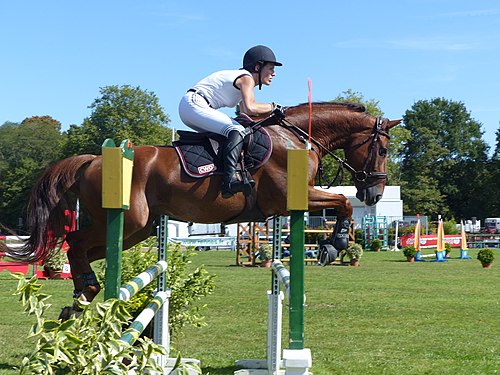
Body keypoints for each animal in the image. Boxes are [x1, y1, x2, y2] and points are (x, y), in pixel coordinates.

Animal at [4, 101, 398, 316]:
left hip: (136, 231)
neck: (295, 139)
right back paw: (85, 291)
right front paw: (335, 245)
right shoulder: (289, 198)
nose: (375, 194)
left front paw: (334, 244)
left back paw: (82, 296)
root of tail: (92, 159)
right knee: (75, 241)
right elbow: (343, 203)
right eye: (381, 150)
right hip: (128, 222)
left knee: (84, 249)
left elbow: (341, 204)